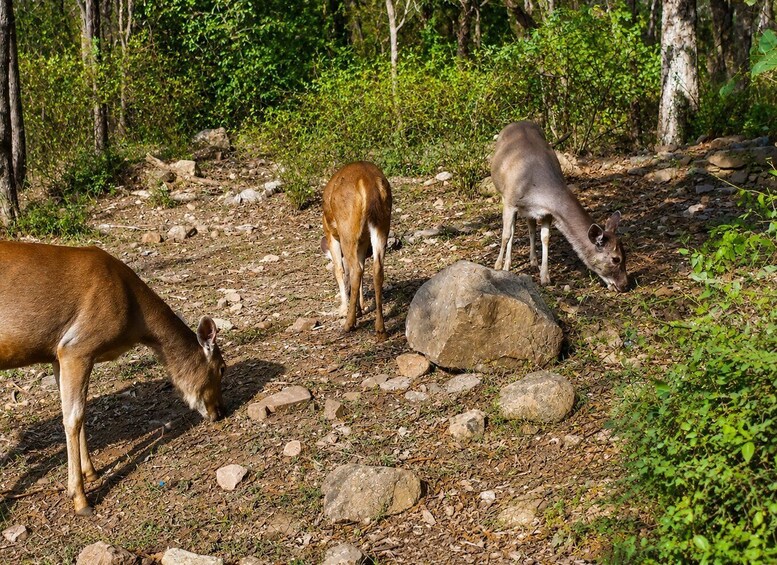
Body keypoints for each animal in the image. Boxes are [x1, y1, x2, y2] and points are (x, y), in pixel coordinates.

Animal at [0, 241, 226, 516]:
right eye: (222, 368)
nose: (220, 411)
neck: (136, 320)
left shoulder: (57, 354)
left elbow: (78, 412)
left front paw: (91, 472)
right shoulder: (76, 347)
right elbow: (74, 417)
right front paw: (80, 499)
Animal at [322, 161, 392, 340]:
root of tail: (366, 182)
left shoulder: (331, 234)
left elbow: (339, 270)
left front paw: (344, 309)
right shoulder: (364, 241)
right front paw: (360, 308)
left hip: (347, 229)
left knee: (355, 270)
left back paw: (349, 324)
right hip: (382, 224)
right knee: (376, 268)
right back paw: (380, 328)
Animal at [491, 121, 628, 292]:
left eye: (626, 254)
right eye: (616, 259)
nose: (625, 285)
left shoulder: (547, 213)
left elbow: (545, 238)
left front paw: (545, 277)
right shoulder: (510, 201)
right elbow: (506, 235)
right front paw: (498, 266)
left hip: (527, 211)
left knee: (530, 227)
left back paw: (533, 260)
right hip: (504, 195)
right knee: (512, 230)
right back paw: (507, 264)